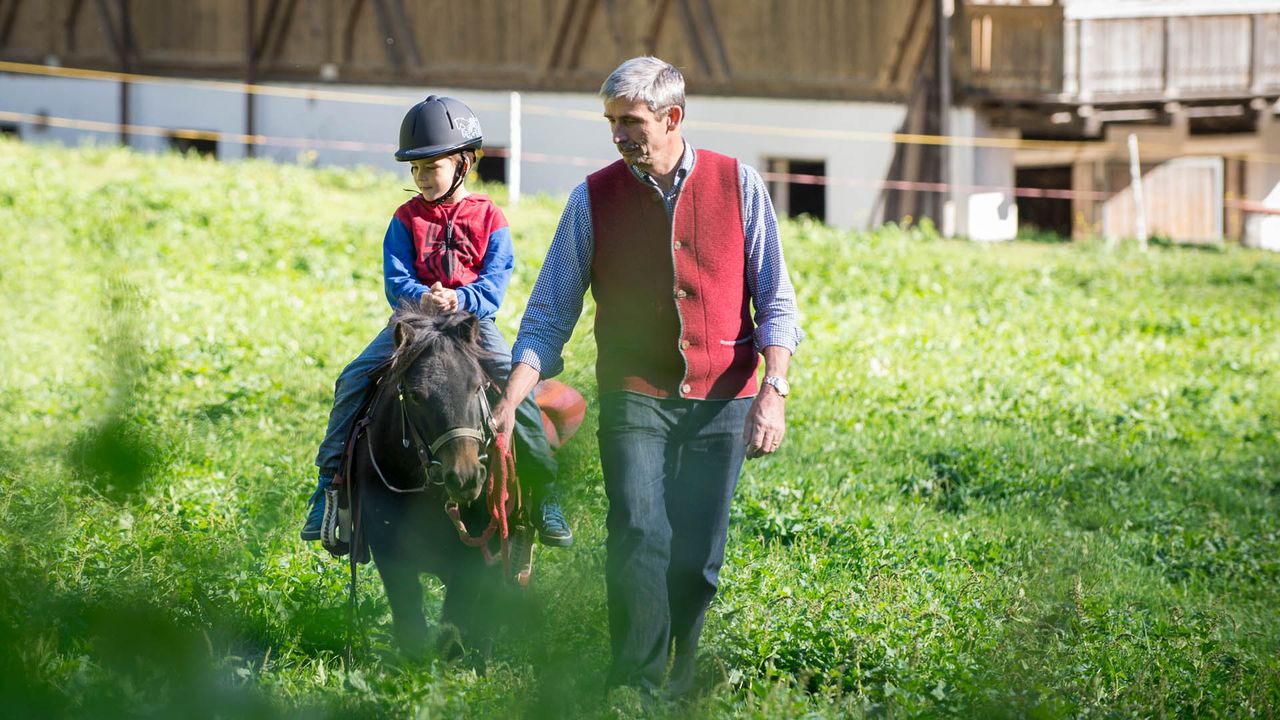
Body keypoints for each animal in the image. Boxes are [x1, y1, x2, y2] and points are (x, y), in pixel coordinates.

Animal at [340, 305, 519, 658]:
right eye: (415, 395)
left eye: (477, 385)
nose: (464, 476)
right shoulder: (388, 550)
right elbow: (410, 618)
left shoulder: (475, 558)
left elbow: (455, 623)